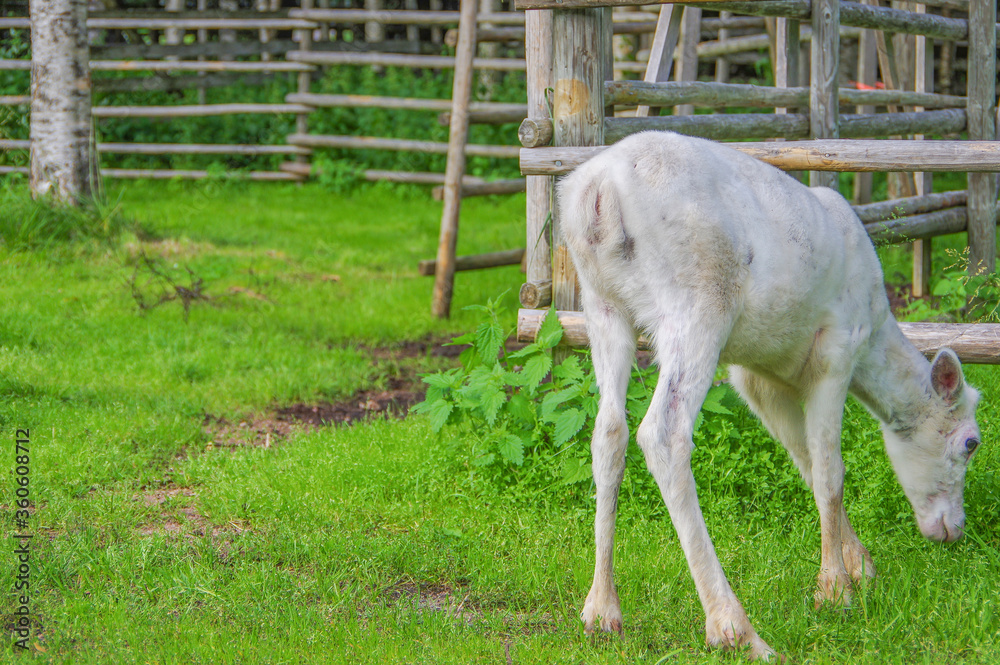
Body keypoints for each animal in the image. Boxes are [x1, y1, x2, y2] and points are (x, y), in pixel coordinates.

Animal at [557, 131, 983, 660]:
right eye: (971, 442)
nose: (953, 530)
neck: (876, 332)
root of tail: (597, 192)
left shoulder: (758, 377)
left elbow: (805, 461)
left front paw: (859, 564)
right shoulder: (835, 350)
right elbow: (830, 470)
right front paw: (835, 590)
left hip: (602, 304)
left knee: (608, 432)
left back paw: (601, 610)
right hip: (697, 302)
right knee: (662, 432)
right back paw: (734, 628)